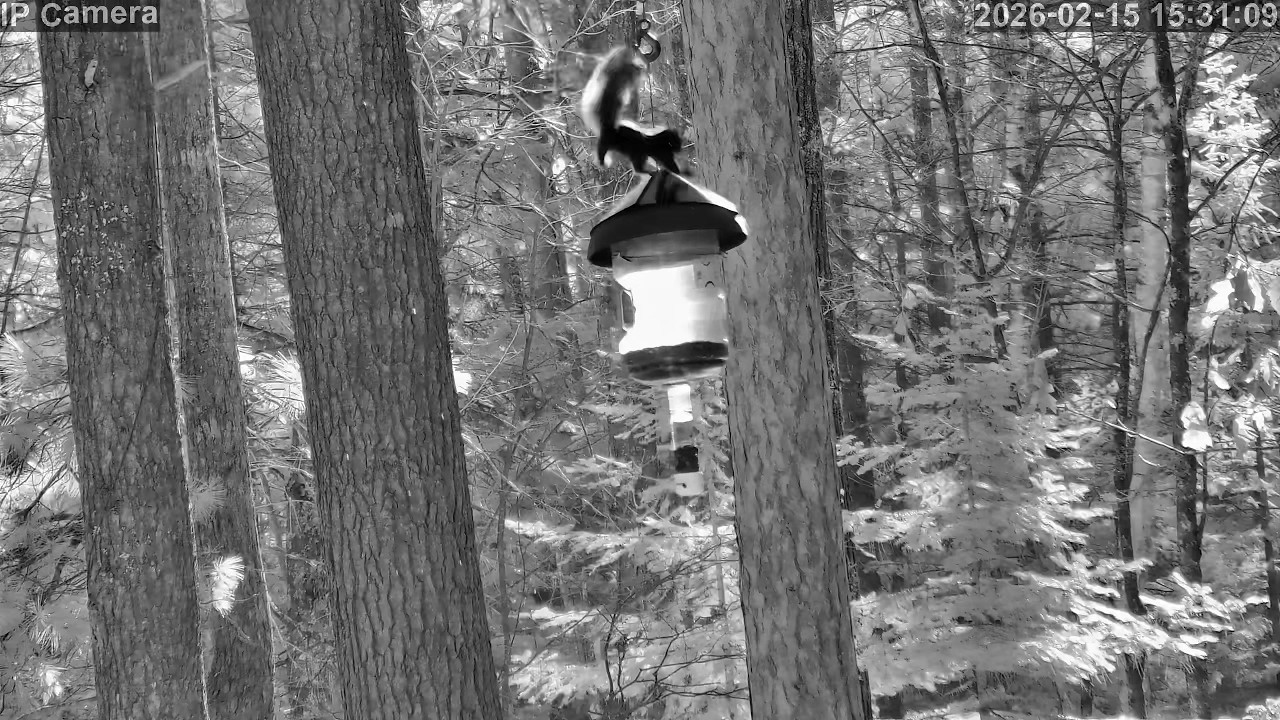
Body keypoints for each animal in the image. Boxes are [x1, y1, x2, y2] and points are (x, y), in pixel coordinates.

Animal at [579, 46, 684, 175]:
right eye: (674, 142)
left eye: (679, 141)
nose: (679, 148)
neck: (658, 135)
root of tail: (610, 125)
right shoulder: (658, 149)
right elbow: (668, 162)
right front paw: (679, 171)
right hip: (613, 141)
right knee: (602, 149)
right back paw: (602, 162)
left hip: (635, 150)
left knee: (637, 165)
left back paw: (646, 171)